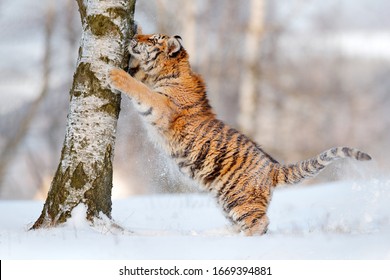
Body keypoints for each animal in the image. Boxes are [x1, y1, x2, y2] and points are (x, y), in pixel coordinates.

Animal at [108, 31, 370, 235]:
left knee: (260, 223)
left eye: (152, 40)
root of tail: (272, 168)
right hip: (225, 200)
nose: (135, 37)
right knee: (241, 223)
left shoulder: (162, 106)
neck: (166, 71)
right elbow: (138, 76)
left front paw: (115, 74)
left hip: (240, 200)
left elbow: (140, 88)